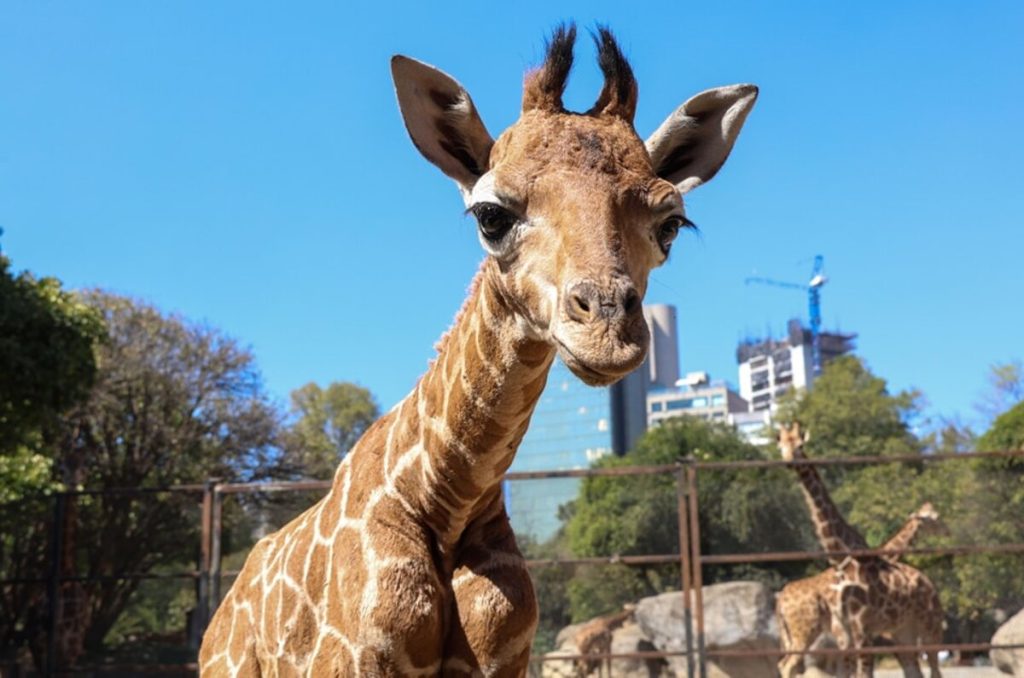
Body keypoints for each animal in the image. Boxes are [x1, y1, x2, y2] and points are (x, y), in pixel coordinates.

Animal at [201, 23, 761, 675]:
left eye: (671, 223)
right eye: (491, 215)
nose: (609, 333)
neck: (448, 499)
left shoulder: (501, 661)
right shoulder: (354, 661)